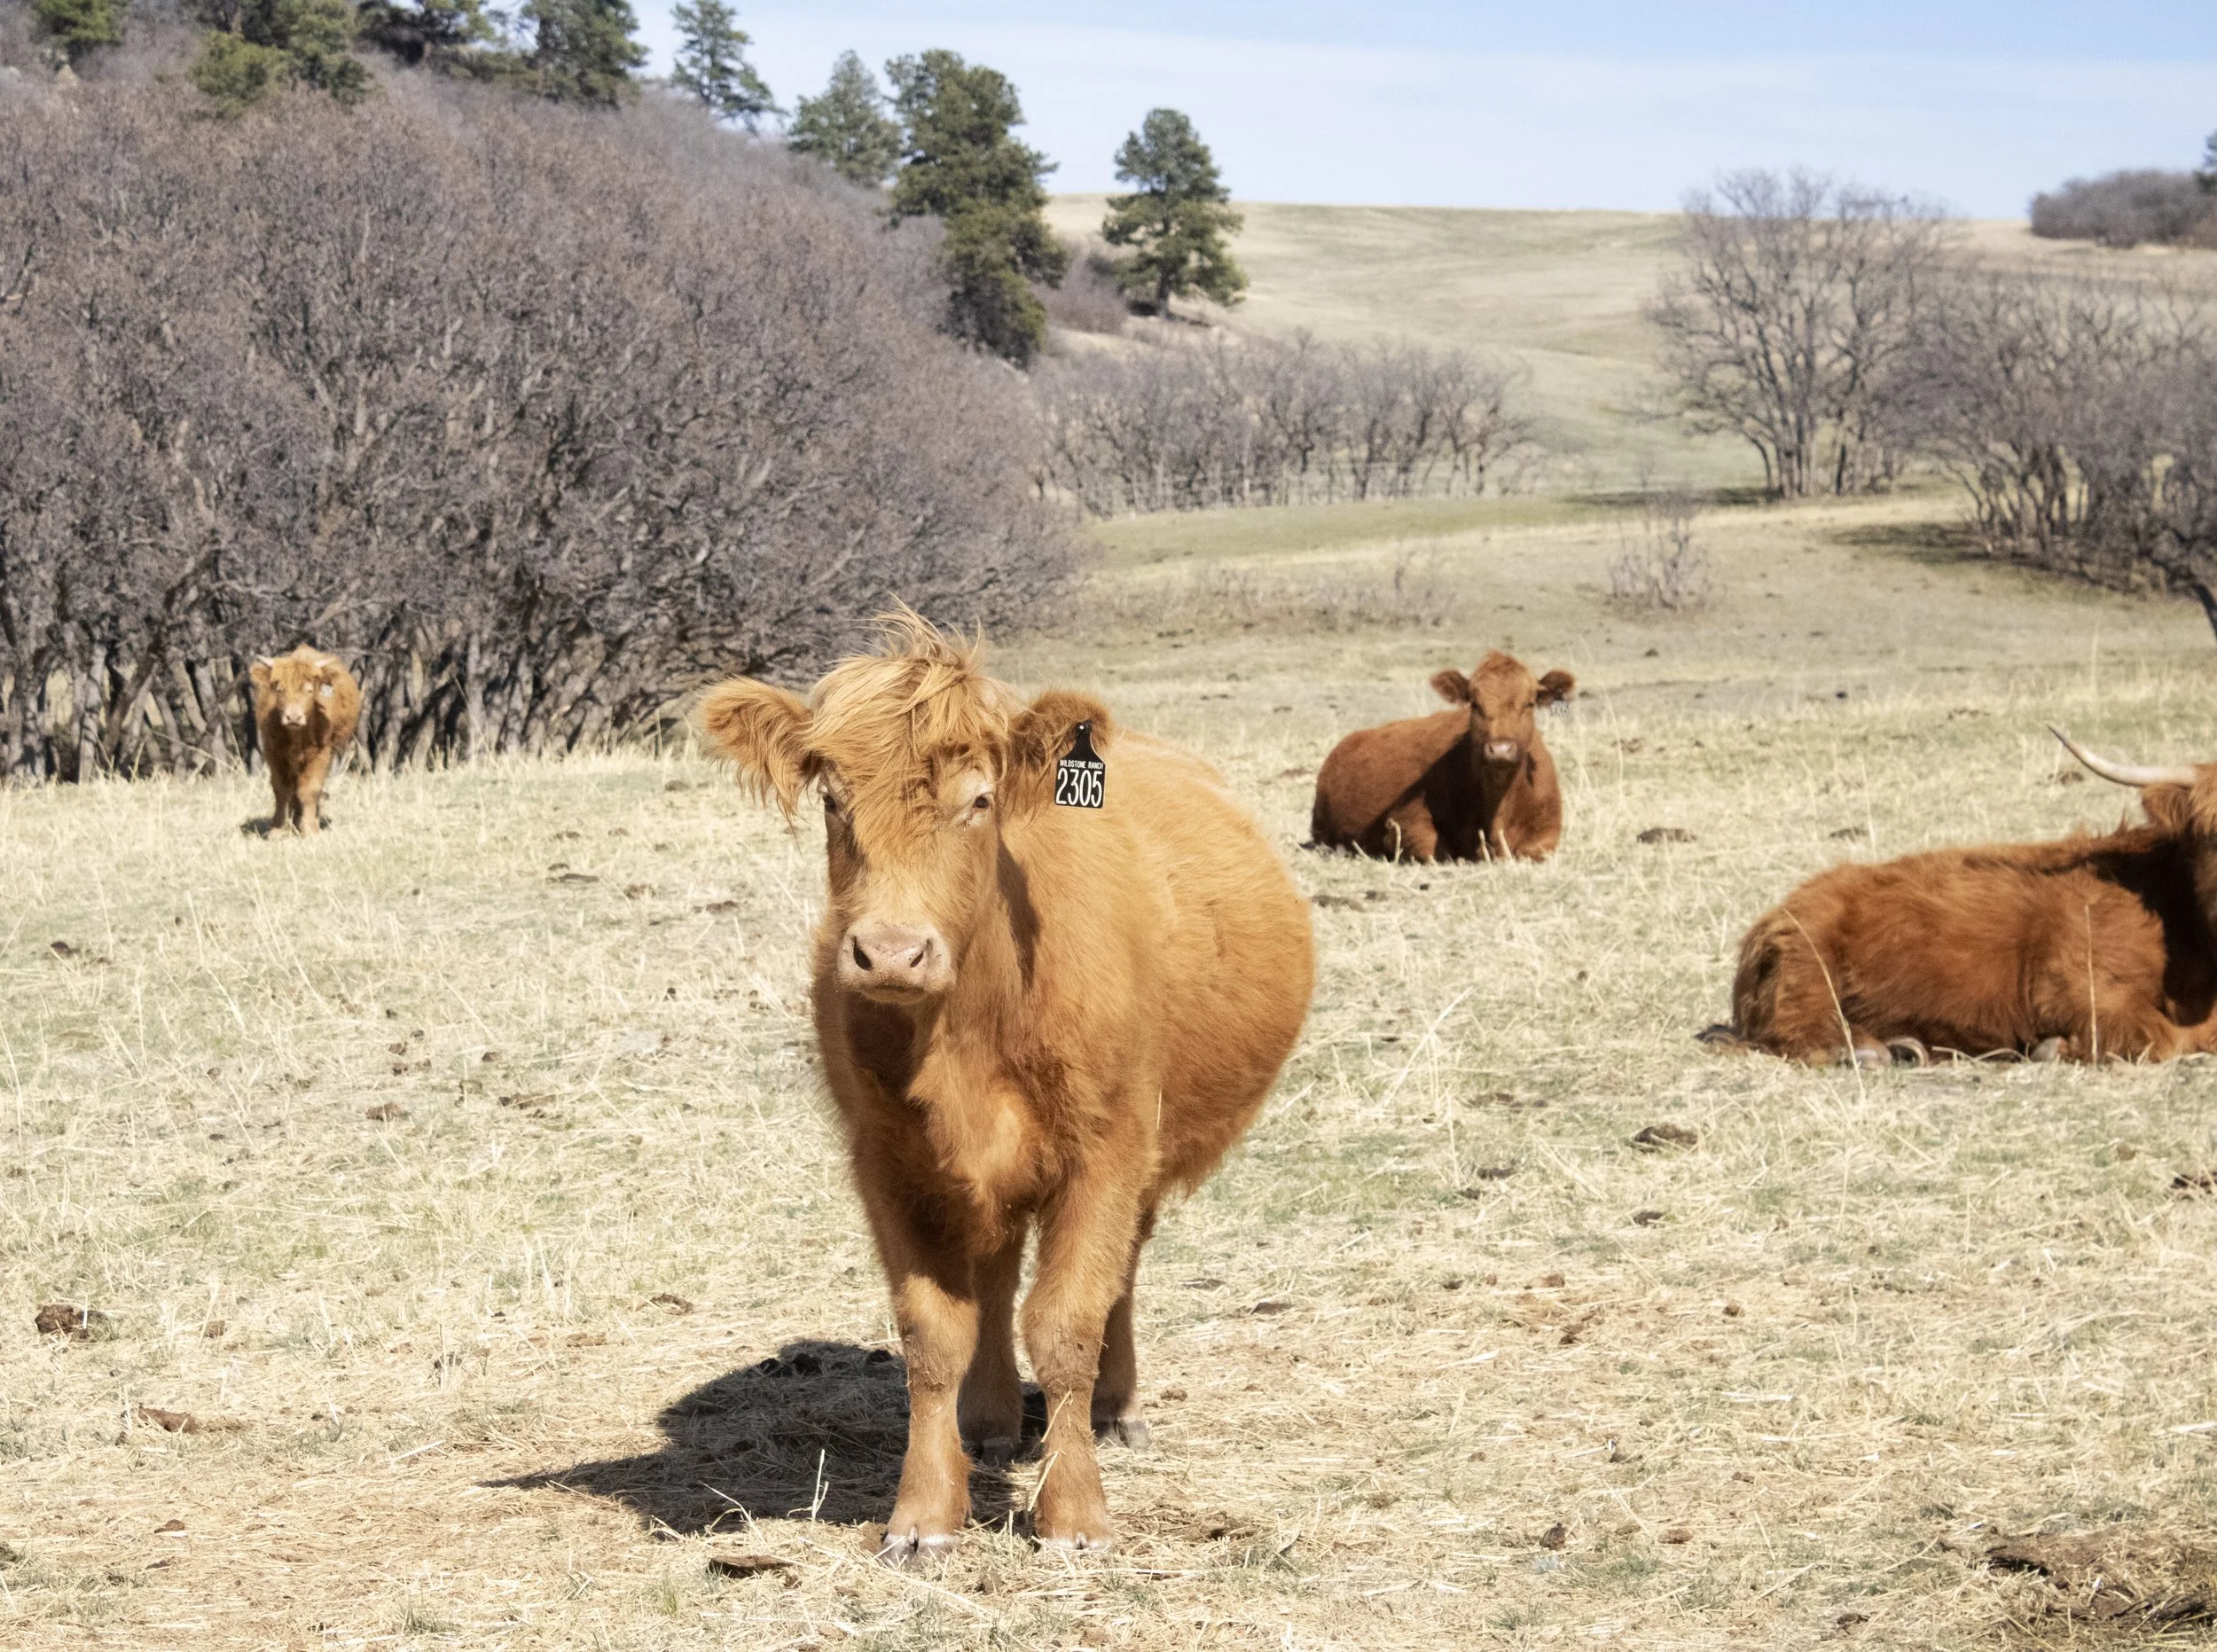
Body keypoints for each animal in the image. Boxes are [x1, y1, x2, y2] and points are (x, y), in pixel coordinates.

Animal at [249, 645, 361, 837]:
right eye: (280, 690)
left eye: (309, 691)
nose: (293, 717)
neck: (296, 735)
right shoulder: (274, 752)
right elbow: (281, 790)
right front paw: (278, 830)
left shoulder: (321, 754)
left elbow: (309, 790)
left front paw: (309, 829)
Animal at [695, 614, 1315, 1565]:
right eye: (834, 800)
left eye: (979, 801)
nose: (891, 952)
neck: (969, 1030)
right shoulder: (888, 1162)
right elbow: (933, 1334)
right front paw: (924, 1513)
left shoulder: (1108, 1150)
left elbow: (1065, 1325)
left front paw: (1075, 1516)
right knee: (992, 1277)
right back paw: (986, 1421)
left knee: (1118, 1273)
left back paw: (1117, 1405)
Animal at [1309, 650, 1575, 862]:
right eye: (1475, 703)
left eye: (1529, 703)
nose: (1500, 749)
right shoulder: (1403, 820)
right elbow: (1435, 850)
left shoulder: (1549, 829)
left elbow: (1532, 851)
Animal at [1702, 729, 2217, 1067]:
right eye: (2209, 834)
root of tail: (1774, 916)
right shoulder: (2076, 987)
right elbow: (2159, 1037)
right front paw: (2054, 1049)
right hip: (1808, 964)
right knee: (1800, 1030)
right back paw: (1871, 1051)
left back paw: (1904, 1046)